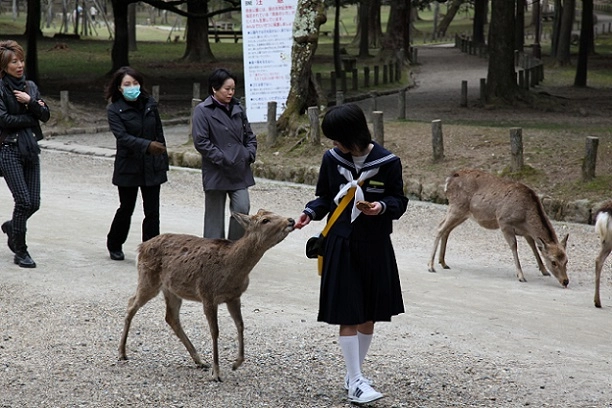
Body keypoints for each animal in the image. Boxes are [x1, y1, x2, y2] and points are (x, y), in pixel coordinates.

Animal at [118, 209, 296, 380]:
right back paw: (122, 353)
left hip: (171, 289)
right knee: (131, 303)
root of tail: (141, 247)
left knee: (171, 317)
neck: (232, 271)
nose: (291, 220)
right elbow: (215, 331)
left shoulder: (234, 296)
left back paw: (200, 361)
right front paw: (216, 373)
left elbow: (240, 325)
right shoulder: (207, 294)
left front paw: (236, 363)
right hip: (148, 279)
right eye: (265, 220)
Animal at [430, 169, 568, 286]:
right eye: (554, 262)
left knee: (445, 228)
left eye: (566, 260)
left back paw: (443, 262)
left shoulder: (526, 232)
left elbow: (533, 246)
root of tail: (448, 181)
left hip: (462, 213)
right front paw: (521, 276)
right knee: (440, 229)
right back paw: (431, 266)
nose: (565, 281)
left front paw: (544, 270)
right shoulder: (504, 222)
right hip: (457, 207)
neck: (525, 217)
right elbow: (514, 246)